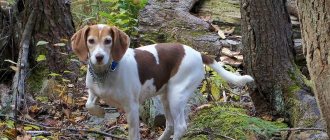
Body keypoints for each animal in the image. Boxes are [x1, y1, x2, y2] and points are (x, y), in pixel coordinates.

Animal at [71, 24, 254, 140]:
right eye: (91, 41)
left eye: (108, 41)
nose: (99, 57)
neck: (106, 72)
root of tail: (198, 53)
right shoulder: (93, 91)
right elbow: (89, 104)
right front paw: (99, 112)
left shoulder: (132, 108)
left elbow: (134, 135)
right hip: (165, 97)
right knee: (170, 125)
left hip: (176, 96)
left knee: (180, 127)